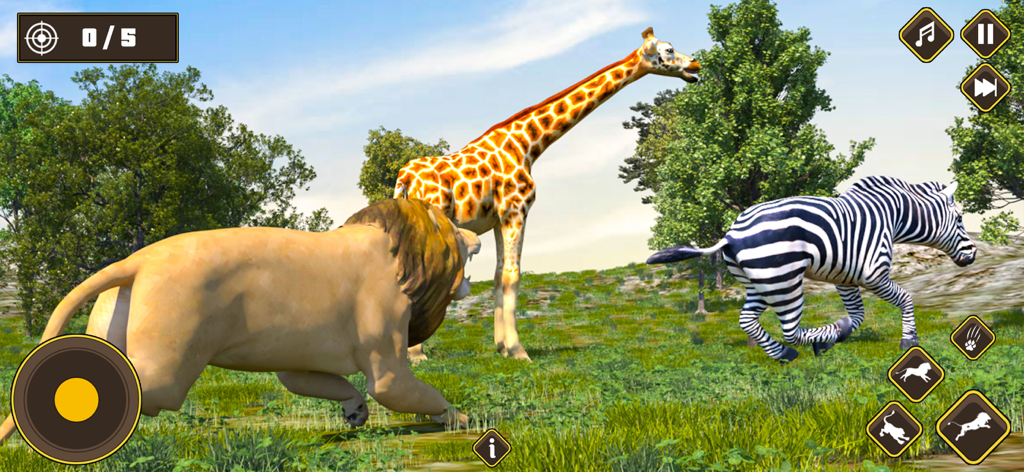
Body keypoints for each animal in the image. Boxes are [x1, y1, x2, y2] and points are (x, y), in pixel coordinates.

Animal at [0, 198, 481, 444]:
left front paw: (355, 410)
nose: (476, 237)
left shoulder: (298, 363)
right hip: (166, 360)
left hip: (111, 323)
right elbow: (402, 389)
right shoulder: (387, 345)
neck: (400, 254)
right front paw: (460, 419)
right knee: (136, 393)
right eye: (452, 226)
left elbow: (328, 384)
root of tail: (137, 260)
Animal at [395, 27, 700, 361]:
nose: (695, 64)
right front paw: (519, 352)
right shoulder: (516, 210)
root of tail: (404, 178)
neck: (528, 145)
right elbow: (512, 276)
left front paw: (502, 349)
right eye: (668, 50)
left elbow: (499, 276)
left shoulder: (500, 218)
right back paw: (416, 355)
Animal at [647, 176, 977, 363]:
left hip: (760, 286)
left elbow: (858, 317)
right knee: (790, 331)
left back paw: (784, 354)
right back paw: (798, 348)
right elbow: (905, 299)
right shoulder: (873, 273)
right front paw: (909, 340)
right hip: (785, 282)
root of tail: (729, 235)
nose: (973, 254)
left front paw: (836, 334)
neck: (891, 216)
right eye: (960, 219)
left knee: (748, 322)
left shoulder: (845, 278)